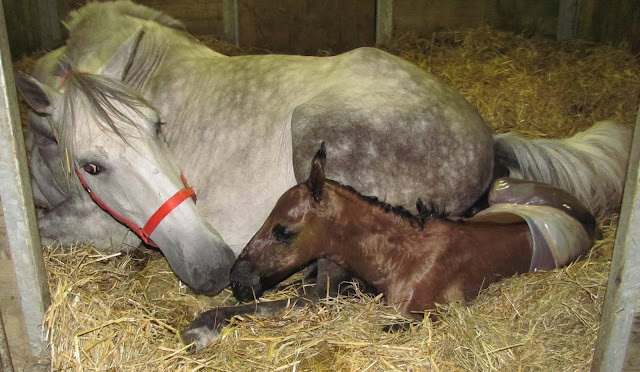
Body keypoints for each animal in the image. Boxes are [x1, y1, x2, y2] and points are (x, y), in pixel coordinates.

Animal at [18, 1, 632, 294]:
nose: (212, 264)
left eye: (158, 126)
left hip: (312, 127)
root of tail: (485, 140)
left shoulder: (110, 230)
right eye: (93, 164)